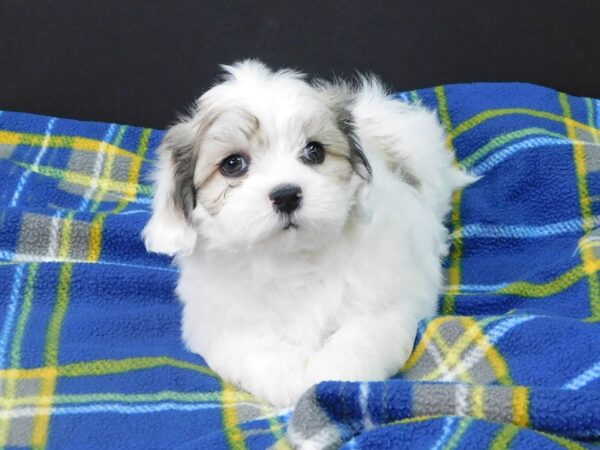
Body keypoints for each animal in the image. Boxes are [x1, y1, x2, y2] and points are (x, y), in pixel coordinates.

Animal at [142, 59, 474, 408]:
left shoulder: (384, 305)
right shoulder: (220, 324)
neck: (292, 259)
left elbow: (358, 341)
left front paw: (329, 380)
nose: (286, 195)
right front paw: (288, 379)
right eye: (233, 164)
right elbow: (254, 349)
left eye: (315, 151)